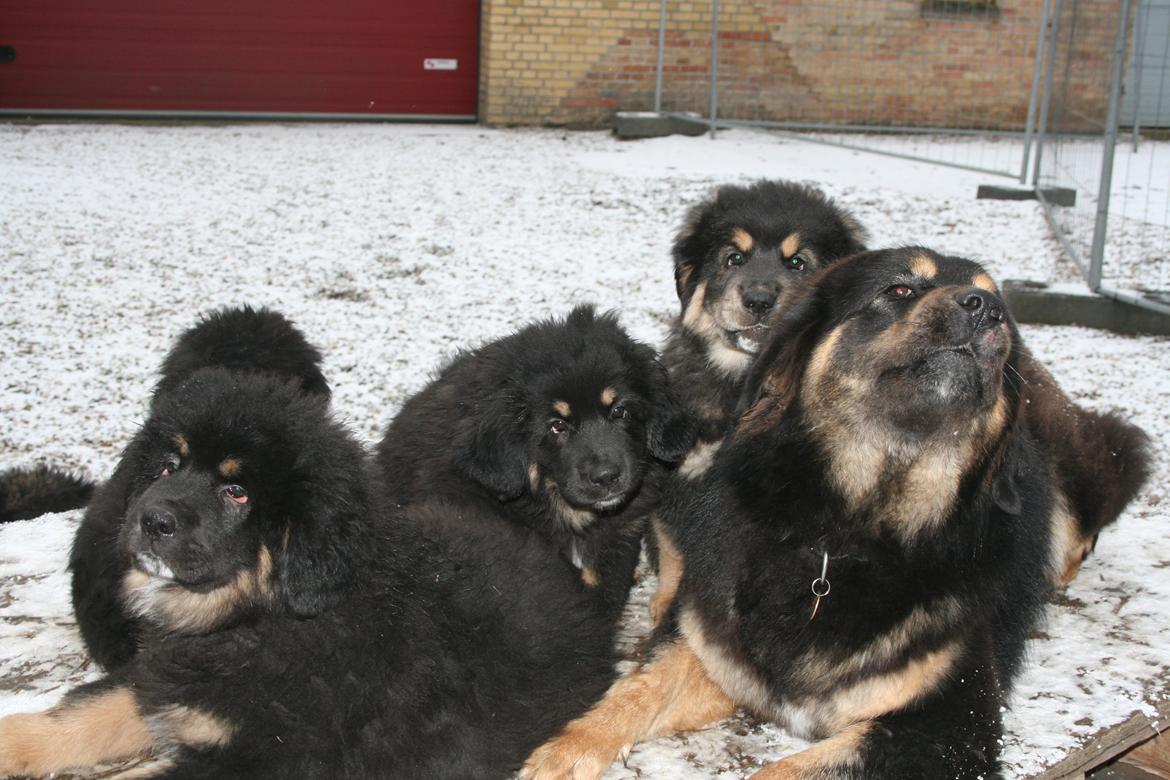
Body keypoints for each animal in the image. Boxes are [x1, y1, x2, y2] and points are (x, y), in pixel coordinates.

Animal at [526, 249, 1067, 780]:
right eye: (899, 288)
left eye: (1002, 309)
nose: (987, 309)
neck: (848, 534)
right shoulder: (715, 652)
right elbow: (635, 691)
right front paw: (564, 750)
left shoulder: (949, 731)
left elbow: (778, 772)